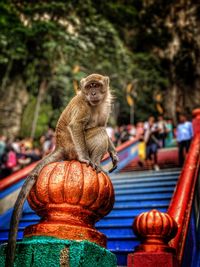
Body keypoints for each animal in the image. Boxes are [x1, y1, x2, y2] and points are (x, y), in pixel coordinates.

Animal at [5, 74, 119, 267]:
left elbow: (103, 124)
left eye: (96, 86)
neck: (95, 105)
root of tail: (60, 146)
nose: (93, 93)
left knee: (102, 129)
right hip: (73, 148)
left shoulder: (106, 107)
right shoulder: (83, 105)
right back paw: (96, 163)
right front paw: (85, 159)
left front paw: (113, 153)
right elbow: (77, 126)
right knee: (99, 132)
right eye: (89, 87)